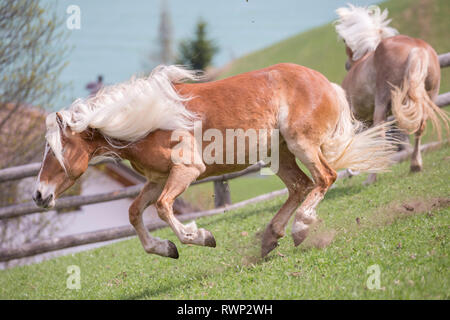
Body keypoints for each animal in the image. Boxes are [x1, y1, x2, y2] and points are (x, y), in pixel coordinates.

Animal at [33, 63, 396, 258]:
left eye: (57, 150)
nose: (38, 195)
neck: (146, 122)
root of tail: (327, 84)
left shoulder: (186, 171)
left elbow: (163, 209)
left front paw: (201, 237)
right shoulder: (157, 179)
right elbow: (135, 212)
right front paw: (165, 249)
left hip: (301, 145)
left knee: (324, 177)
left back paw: (300, 228)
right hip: (279, 155)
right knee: (300, 186)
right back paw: (270, 238)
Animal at [334, 4, 446, 185]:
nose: (346, 64)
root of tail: (417, 49)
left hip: (381, 108)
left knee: (382, 140)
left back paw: (371, 178)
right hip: (428, 99)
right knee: (419, 129)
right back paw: (415, 165)